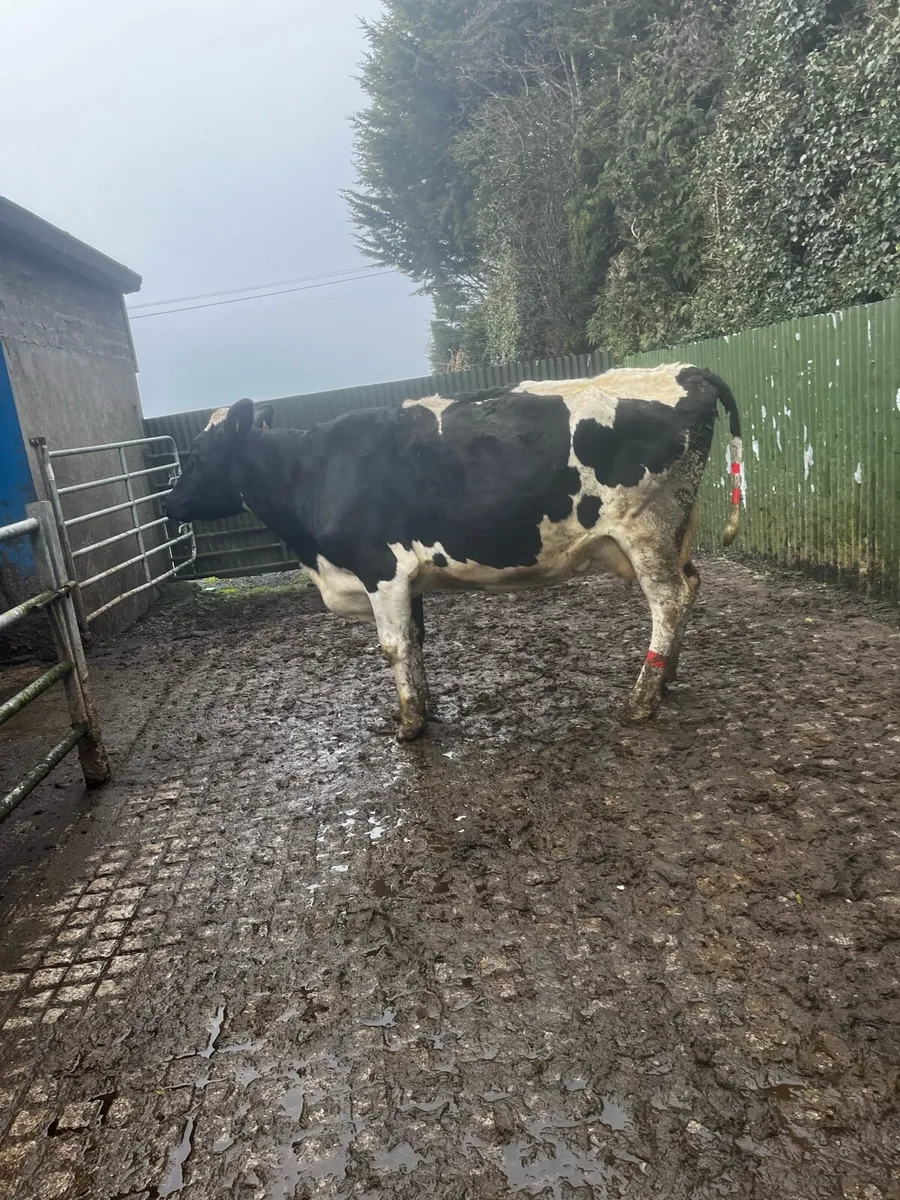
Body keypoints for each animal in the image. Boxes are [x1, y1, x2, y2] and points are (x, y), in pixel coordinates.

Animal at [165, 364, 743, 741]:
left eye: (196, 453)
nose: (169, 501)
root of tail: (682, 368)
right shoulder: (405, 580)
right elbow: (416, 643)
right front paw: (425, 708)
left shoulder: (381, 569)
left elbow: (393, 647)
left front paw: (409, 726)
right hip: (675, 530)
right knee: (691, 587)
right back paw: (666, 681)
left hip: (646, 531)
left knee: (668, 602)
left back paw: (641, 700)